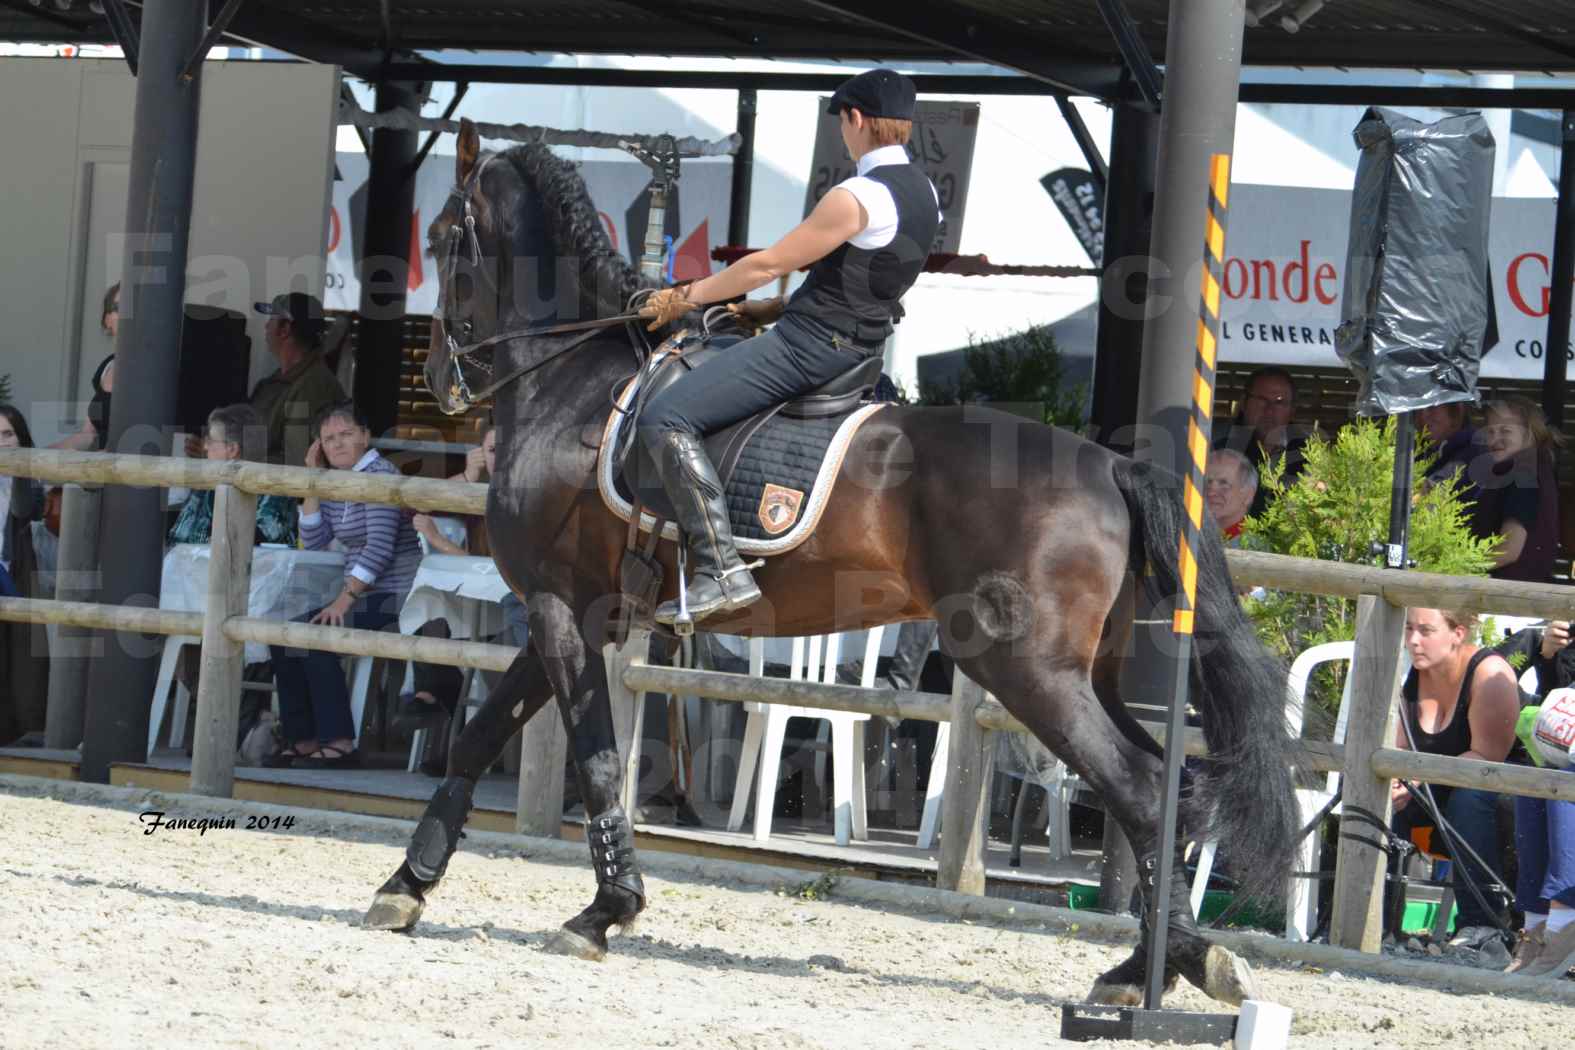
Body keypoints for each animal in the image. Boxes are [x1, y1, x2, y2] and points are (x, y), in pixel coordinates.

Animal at [362, 118, 1297, 1007]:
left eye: (441, 235)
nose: (440, 380)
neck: (575, 388)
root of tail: (1110, 466)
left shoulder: (561, 607)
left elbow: (591, 760)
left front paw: (603, 911)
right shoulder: (571, 610)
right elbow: (475, 739)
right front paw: (404, 887)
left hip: (1024, 667)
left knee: (1137, 787)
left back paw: (1161, 971)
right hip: (1085, 668)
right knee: (1164, 785)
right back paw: (1160, 964)